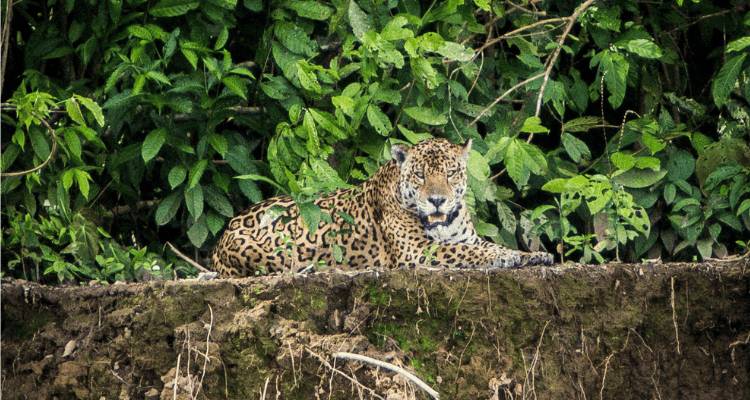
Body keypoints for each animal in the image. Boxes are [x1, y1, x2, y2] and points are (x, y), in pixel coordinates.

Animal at [210, 138, 553, 278]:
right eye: (421, 174)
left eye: (450, 173)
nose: (437, 200)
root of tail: (222, 236)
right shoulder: (418, 251)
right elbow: (466, 252)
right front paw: (504, 257)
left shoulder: (466, 237)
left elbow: (483, 245)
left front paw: (533, 255)